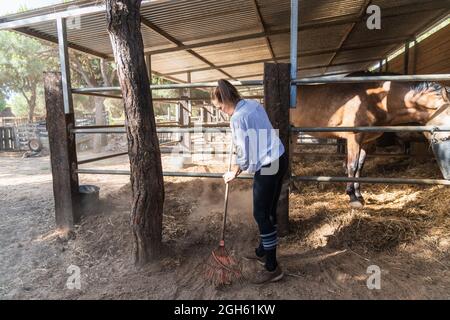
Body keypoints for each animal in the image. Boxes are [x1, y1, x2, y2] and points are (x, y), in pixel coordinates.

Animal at [290, 70, 450, 208]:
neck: (377, 99)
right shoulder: (353, 138)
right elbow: (351, 166)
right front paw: (352, 198)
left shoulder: (367, 142)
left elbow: (360, 167)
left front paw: (359, 195)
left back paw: (293, 188)